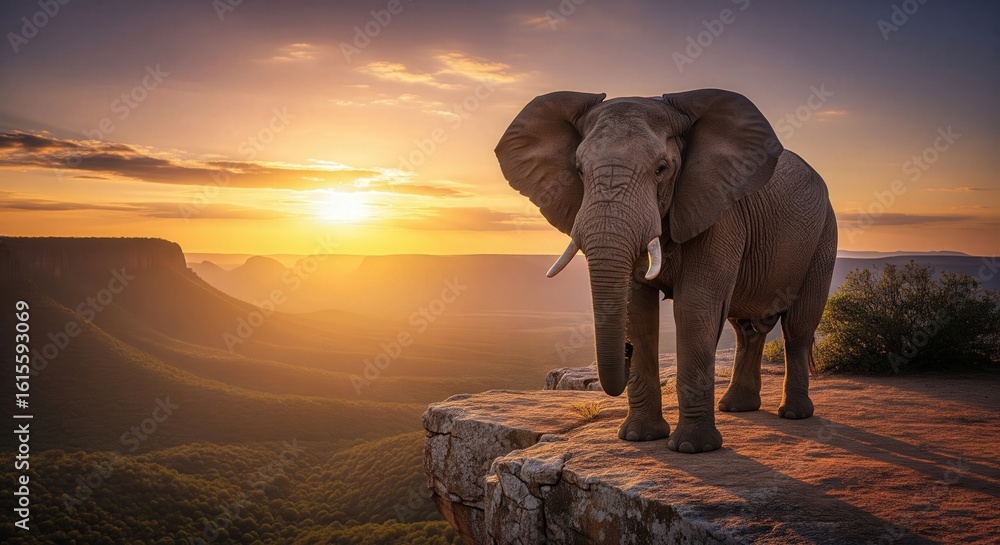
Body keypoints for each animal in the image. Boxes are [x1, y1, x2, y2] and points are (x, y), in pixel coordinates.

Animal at [495, 89, 837, 453]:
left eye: (661, 169)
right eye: (579, 171)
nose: (625, 351)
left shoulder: (719, 209)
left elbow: (695, 307)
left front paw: (692, 448)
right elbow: (638, 310)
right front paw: (639, 436)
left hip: (823, 236)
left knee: (797, 328)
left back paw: (794, 413)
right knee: (747, 329)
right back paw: (736, 407)